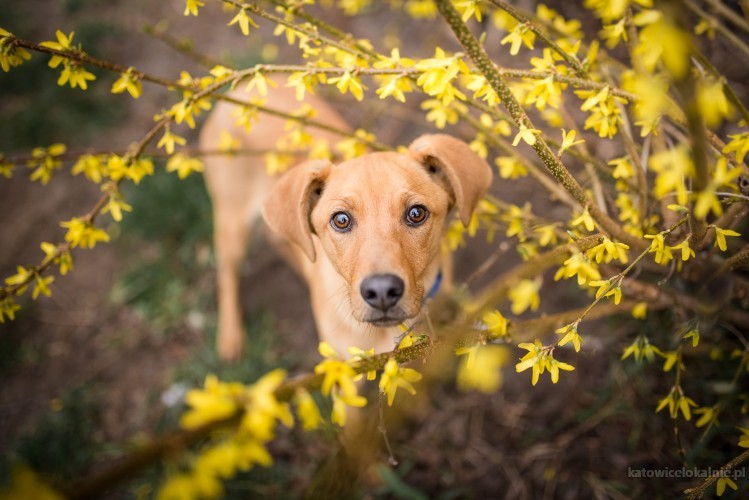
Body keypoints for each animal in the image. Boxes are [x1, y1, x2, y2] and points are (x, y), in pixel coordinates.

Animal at [200, 84, 490, 362]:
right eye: (341, 220)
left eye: (417, 213)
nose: (381, 291)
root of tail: (240, 92)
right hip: (232, 223)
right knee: (226, 272)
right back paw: (230, 336)